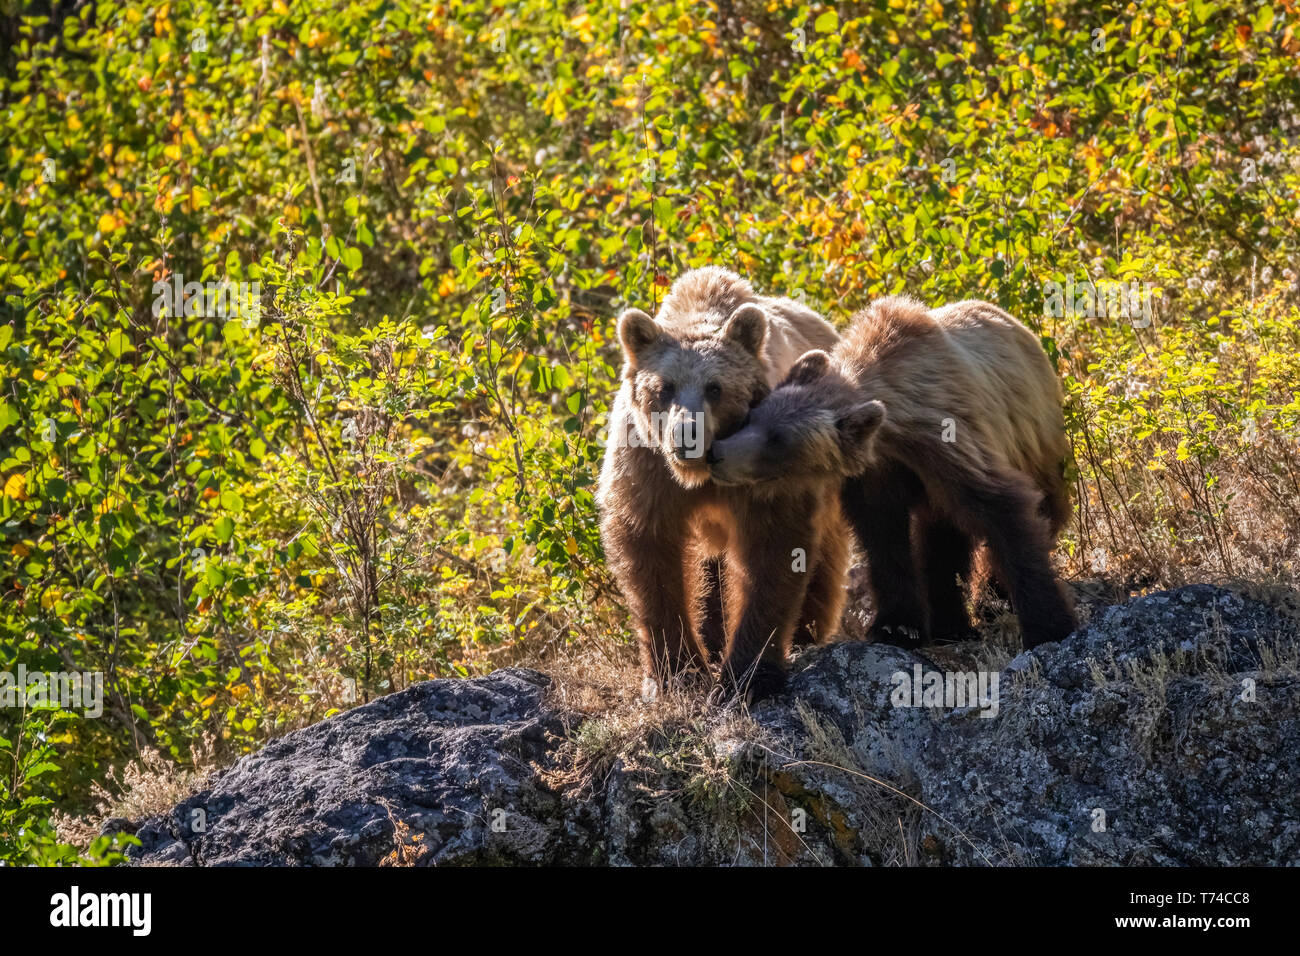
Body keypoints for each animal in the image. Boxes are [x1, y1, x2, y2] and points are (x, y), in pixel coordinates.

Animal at [595, 265, 842, 697]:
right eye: (664, 387)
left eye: (715, 387)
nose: (686, 435)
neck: (699, 476)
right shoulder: (648, 466)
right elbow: (649, 550)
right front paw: (677, 672)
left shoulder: (764, 463)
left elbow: (774, 549)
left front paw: (749, 674)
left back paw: (806, 634)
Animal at [707, 295, 1081, 655]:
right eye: (752, 417)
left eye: (778, 440)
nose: (716, 453)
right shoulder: (876, 475)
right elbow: (885, 539)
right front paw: (896, 626)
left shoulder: (949, 443)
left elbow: (1005, 512)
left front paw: (1049, 626)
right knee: (943, 537)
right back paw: (950, 625)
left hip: (1037, 439)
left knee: (1042, 508)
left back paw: (989, 603)